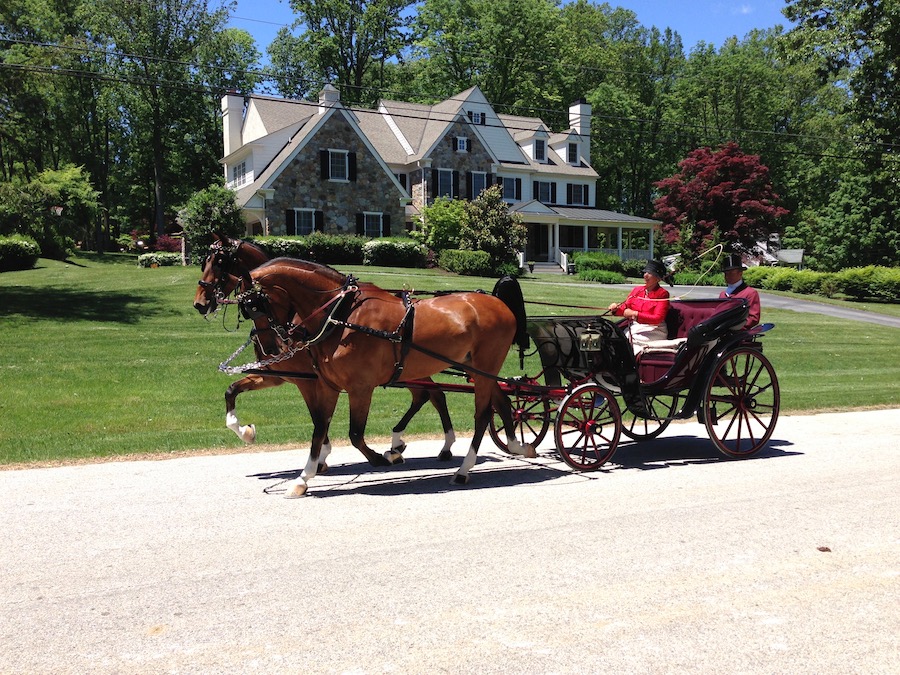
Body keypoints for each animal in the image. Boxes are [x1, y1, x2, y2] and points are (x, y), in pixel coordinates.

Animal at [191, 234, 458, 464]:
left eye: (219, 262)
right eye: (205, 261)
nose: (199, 303)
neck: (332, 312)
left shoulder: (307, 380)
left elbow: (318, 417)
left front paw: (322, 455)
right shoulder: (276, 376)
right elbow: (232, 391)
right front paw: (245, 431)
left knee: (433, 395)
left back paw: (435, 444)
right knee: (429, 395)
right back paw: (404, 443)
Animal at [239, 258, 536, 496]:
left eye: (255, 306)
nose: (270, 348)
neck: (342, 315)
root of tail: (497, 302)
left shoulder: (360, 387)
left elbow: (355, 434)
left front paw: (385, 457)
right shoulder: (327, 386)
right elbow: (319, 429)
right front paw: (303, 478)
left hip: (484, 367)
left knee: (481, 415)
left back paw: (464, 470)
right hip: (478, 369)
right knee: (502, 402)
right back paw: (518, 446)